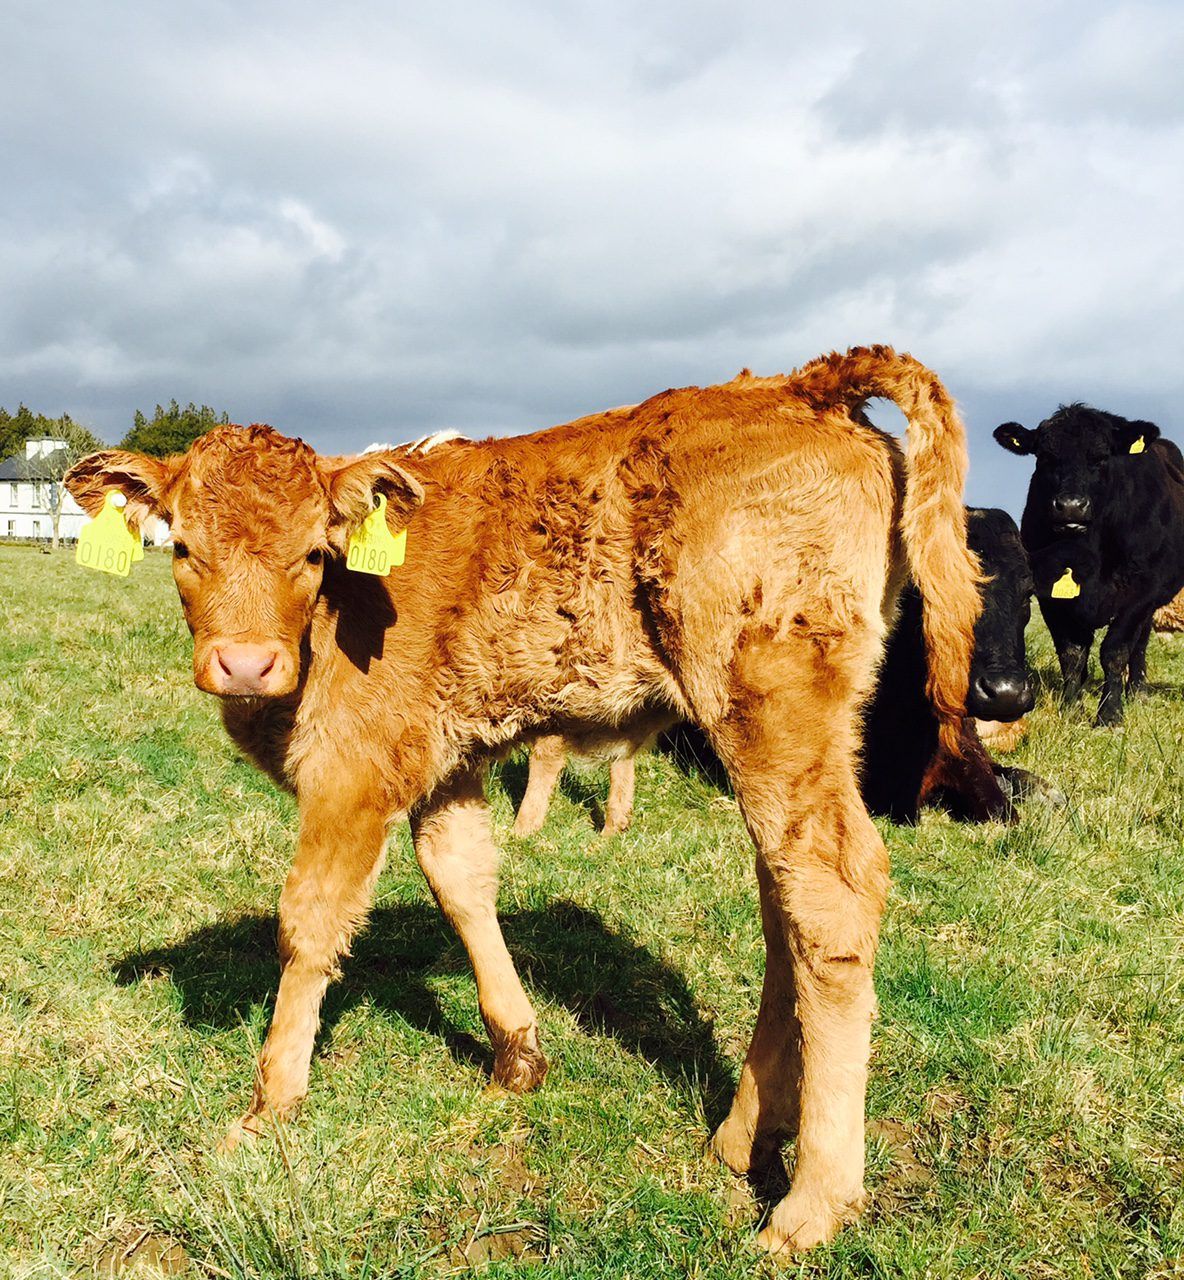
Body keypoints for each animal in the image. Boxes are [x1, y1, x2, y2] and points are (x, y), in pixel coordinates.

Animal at [65, 346, 981, 1255]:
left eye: (314, 554)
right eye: (182, 547)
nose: (246, 664)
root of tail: (802, 384)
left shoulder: (352, 772)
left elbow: (310, 922)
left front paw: (269, 1108)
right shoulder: (441, 762)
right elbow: (462, 881)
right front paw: (517, 1054)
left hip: (774, 706)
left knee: (830, 893)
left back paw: (812, 1201)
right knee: (782, 898)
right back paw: (741, 1134)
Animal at [994, 405, 1184, 725]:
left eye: (1102, 457)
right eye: (1045, 457)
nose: (1071, 506)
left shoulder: (1140, 591)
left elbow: (1115, 651)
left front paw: (1110, 714)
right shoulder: (1049, 592)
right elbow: (1072, 654)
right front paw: (1071, 708)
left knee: (1140, 642)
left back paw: (1138, 690)